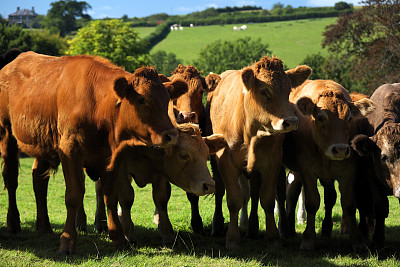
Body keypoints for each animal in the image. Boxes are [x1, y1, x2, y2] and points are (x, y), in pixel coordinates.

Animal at [0, 51, 184, 255]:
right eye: (142, 99)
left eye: (167, 100)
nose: (171, 135)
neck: (98, 105)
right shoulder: (69, 151)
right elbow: (73, 196)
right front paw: (67, 241)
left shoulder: (112, 158)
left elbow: (110, 197)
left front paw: (119, 239)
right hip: (7, 134)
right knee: (11, 179)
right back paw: (13, 223)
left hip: (42, 145)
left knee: (39, 180)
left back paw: (44, 226)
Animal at [208, 55, 310, 250]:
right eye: (265, 91)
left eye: (288, 90)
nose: (291, 122)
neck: (250, 131)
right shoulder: (225, 161)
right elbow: (234, 200)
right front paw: (232, 239)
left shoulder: (272, 161)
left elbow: (268, 200)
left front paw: (273, 237)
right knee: (220, 190)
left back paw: (254, 228)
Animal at [278, 79, 376, 251]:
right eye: (321, 118)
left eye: (349, 118)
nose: (341, 149)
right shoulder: (306, 169)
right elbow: (312, 203)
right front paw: (308, 239)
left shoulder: (349, 169)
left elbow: (348, 204)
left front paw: (357, 241)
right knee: (284, 194)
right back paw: (285, 230)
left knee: (296, 193)